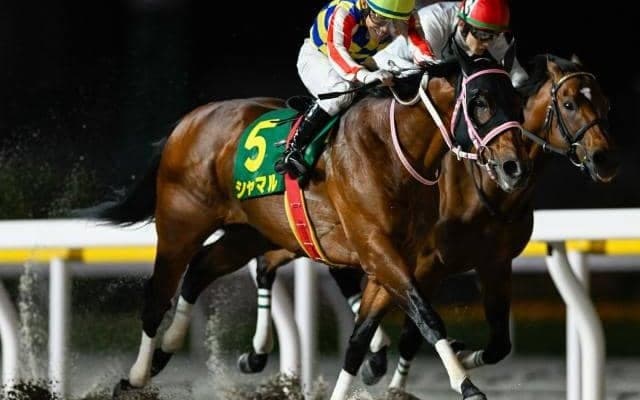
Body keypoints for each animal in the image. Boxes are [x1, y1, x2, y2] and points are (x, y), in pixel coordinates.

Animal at [79, 42, 529, 400]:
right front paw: (467, 385)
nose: (513, 168)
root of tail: (187, 122)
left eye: (516, 100)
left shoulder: (394, 259)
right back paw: (136, 376)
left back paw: (167, 350)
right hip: (180, 224)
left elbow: (359, 338)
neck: (393, 149)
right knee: (158, 292)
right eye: (480, 101)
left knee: (201, 269)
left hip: (249, 233)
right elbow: (426, 316)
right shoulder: (378, 250)